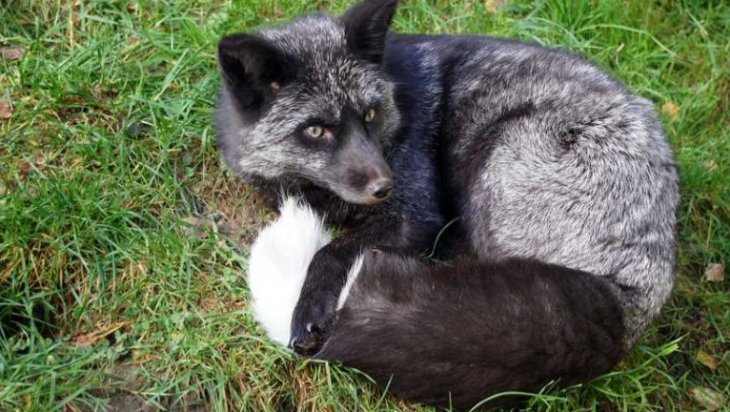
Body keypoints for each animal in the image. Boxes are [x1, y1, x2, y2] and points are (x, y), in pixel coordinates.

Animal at [215, 0, 679, 408]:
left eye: (369, 115)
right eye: (315, 130)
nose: (385, 185)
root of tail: (633, 299)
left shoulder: (415, 214)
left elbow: (332, 250)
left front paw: (310, 307)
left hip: (499, 152)